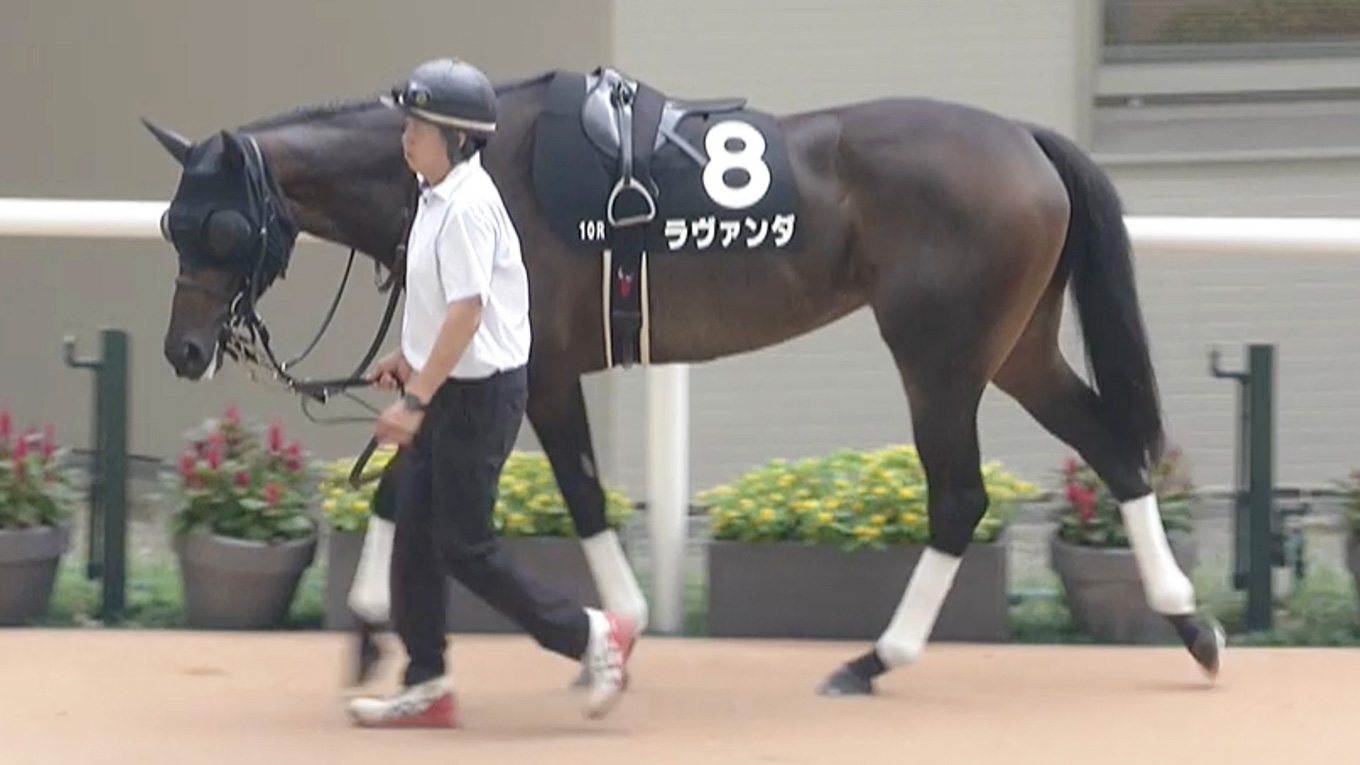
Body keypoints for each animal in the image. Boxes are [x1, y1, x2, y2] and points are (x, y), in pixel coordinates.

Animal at [141, 65, 1224, 698]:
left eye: (223, 227)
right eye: (171, 223)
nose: (184, 352)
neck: (481, 168)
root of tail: (1023, 137)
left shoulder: (538, 367)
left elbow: (577, 497)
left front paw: (614, 632)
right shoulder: (481, 365)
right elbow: (404, 485)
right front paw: (371, 627)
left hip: (941, 355)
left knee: (959, 496)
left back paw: (875, 658)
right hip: (1015, 345)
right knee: (1110, 443)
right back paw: (1189, 621)